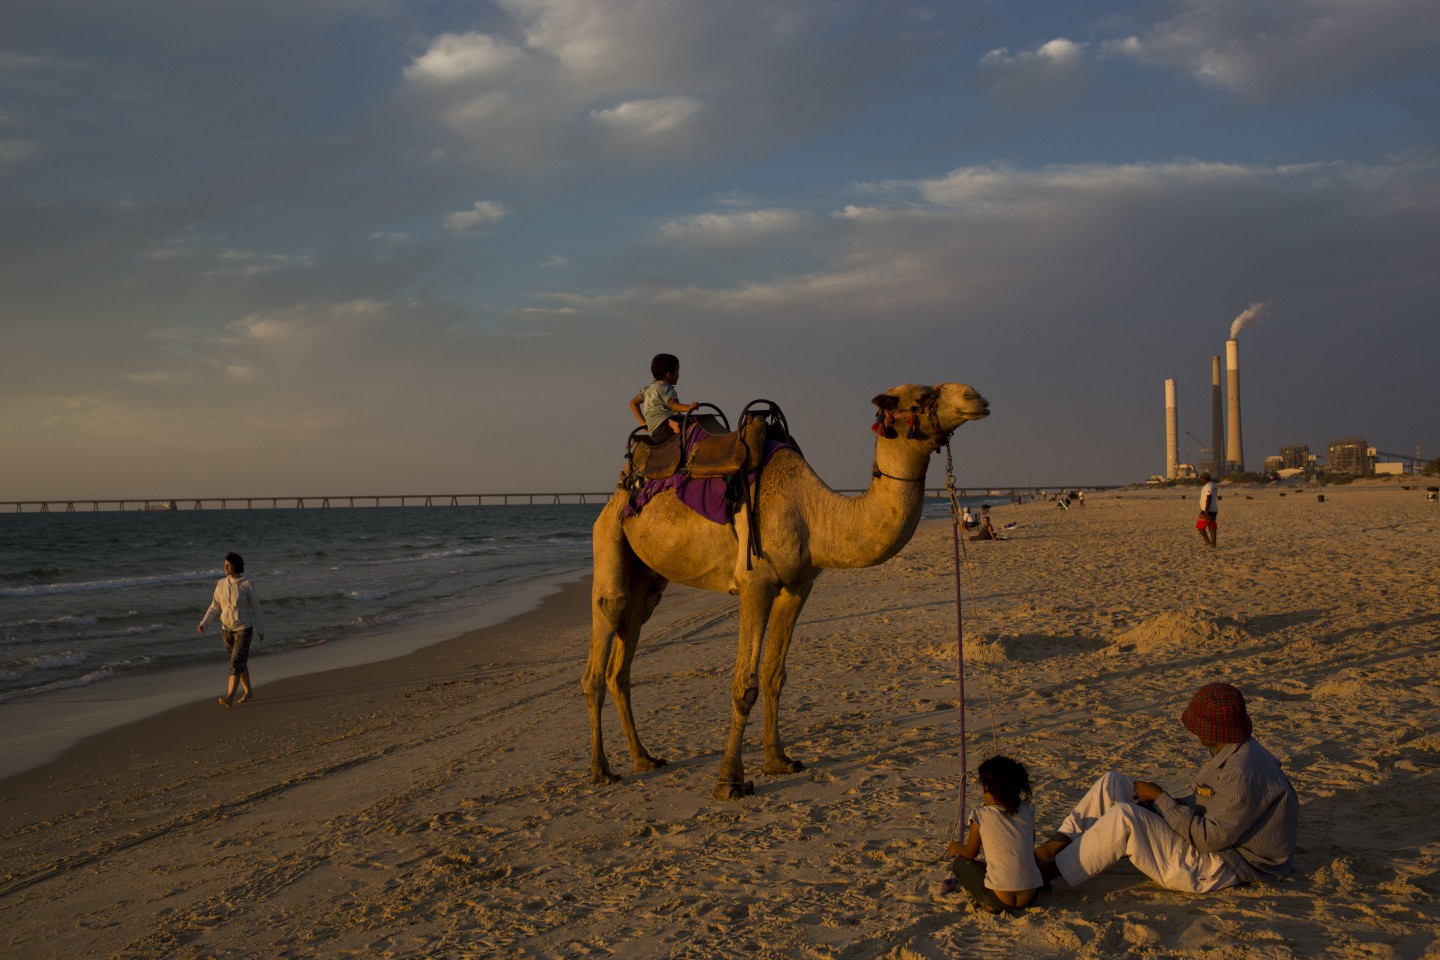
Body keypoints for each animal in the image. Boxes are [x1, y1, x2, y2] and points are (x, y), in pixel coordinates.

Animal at [584, 382, 990, 800]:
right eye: (922, 397)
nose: (974, 397)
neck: (812, 512)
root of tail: (620, 487)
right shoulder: (755, 582)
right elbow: (744, 684)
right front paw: (729, 781)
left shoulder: (798, 586)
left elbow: (773, 675)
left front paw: (778, 761)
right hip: (609, 534)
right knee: (603, 639)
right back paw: (602, 770)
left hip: (647, 578)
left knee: (624, 653)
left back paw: (644, 758)